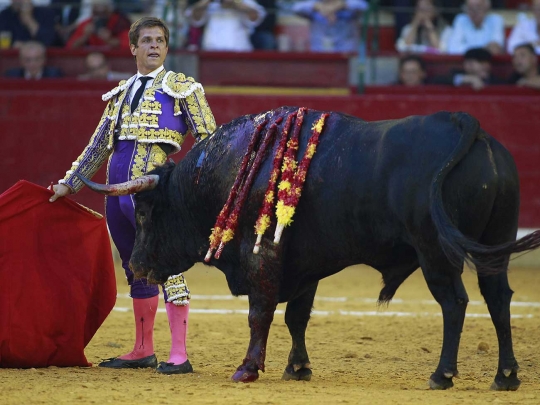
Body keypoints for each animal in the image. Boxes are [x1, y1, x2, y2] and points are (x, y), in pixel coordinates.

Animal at [78, 106, 540, 388]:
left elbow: (260, 313)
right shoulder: (306, 264)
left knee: (455, 303)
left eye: (144, 214)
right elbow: (296, 316)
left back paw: (442, 374)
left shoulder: (262, 255)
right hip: (494, 244)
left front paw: (247, 368)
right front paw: (297, 368)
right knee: (498, 298)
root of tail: (464, 125)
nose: (137, 266)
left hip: (435, 253)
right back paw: (506, 375)